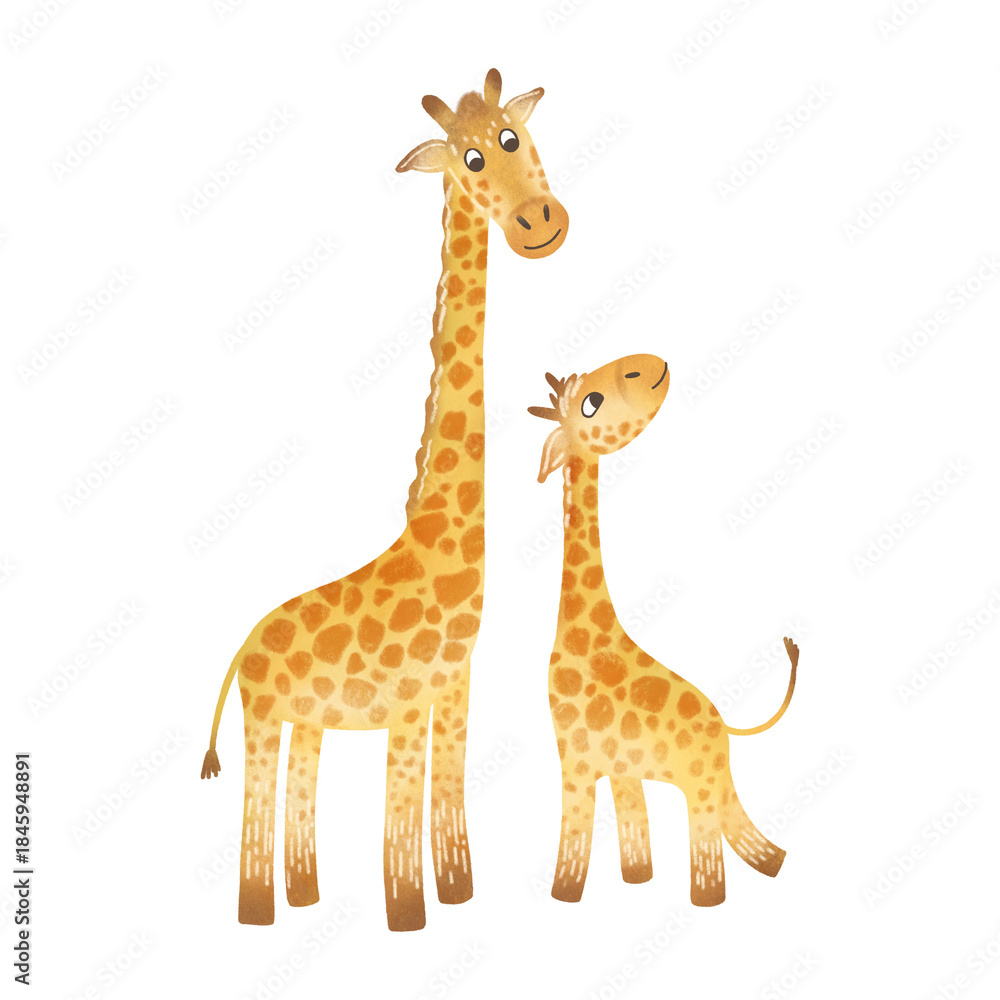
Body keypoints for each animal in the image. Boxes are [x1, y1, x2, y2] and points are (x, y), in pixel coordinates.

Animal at [200, 69, 568, 932]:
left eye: (514, 136)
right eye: (470, 158)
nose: (540, 223)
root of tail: (242, 649)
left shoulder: (455, 685)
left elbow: (448, 793)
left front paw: (459, 894)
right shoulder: (407, 697)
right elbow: (399, 814)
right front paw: (409, 918)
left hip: (305, 720)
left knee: (300, 789)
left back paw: (304, 896)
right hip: (263, 717)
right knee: (258, 794)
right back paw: (259, 911)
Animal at [528, 353, 798, 906]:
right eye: (591, 402)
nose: (650, 364)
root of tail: (724, 724)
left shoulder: (576, 762)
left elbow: (575, 836)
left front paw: (563, 894)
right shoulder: (610, 766)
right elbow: (633, 830)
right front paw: (636, 881)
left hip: (701, 782)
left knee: (713, 839)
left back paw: (710, 899)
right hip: (713, 780)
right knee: (745, 835)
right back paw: (772, 869)